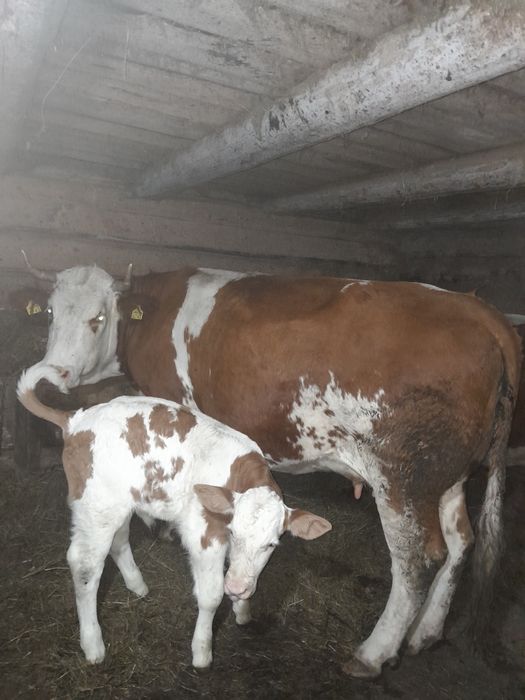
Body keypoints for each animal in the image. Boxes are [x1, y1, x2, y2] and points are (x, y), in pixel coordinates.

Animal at [17, 363, 331, 667]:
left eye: (271, 545)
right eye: (233, 534)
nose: (238, 588)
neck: (240, 475)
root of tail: (76, 420)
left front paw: (242, 609)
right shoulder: (204, 536)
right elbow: (211, 595)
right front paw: (202, 651)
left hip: (118, 504)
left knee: (118, 540)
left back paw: (138, 585)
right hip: (96, 506)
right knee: (85, 565)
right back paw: (93, 644)